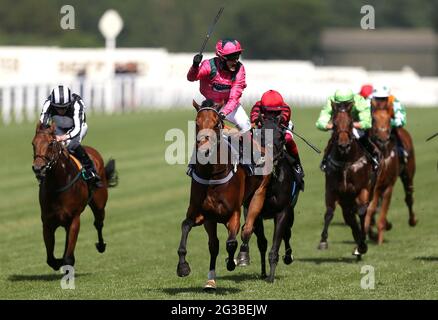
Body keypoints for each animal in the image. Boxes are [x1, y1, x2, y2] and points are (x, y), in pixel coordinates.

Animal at [31, 122, 117, 270]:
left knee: (98, 223)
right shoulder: (47, 222)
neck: (58, 184)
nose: (38, 168)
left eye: (51, 143)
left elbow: (68, 259)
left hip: (99, 204)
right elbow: (51, 259)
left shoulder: (74, 219)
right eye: (33, 143)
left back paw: (101, 245)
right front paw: (59, 261)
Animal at [175, 99, 270, 290]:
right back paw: (211, 280)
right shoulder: (203, 215)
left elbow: (231, 242)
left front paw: (232, 262)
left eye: (216, 124)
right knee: (214, 245)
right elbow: (186, 227)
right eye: (197, 123)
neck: (212, 176)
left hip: (258, 195)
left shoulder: (233, 213)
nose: (203, 151)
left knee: (247, 230)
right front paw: (183, 267)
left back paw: (242, 257)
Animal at [236, 114, 302, 282]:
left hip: (291, 213)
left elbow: (276, 243)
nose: (271, 156)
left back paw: (288, 257)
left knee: (287, 233)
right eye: (260, 135)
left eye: (280, 136)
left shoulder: (283, 211)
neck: (272, 182)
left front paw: (271, 277)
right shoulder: (253, 211)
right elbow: (260, 241)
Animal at [316, 101, 374, 258]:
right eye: (334, 123)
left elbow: (362, 212)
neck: (346, 162)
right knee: (350, 218)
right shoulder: (332, 190)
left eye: (350, 123)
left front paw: (362, 244)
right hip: (345, 201)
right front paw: (323, 241)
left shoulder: (363, 188)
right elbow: (329, 212)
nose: (343, 146)